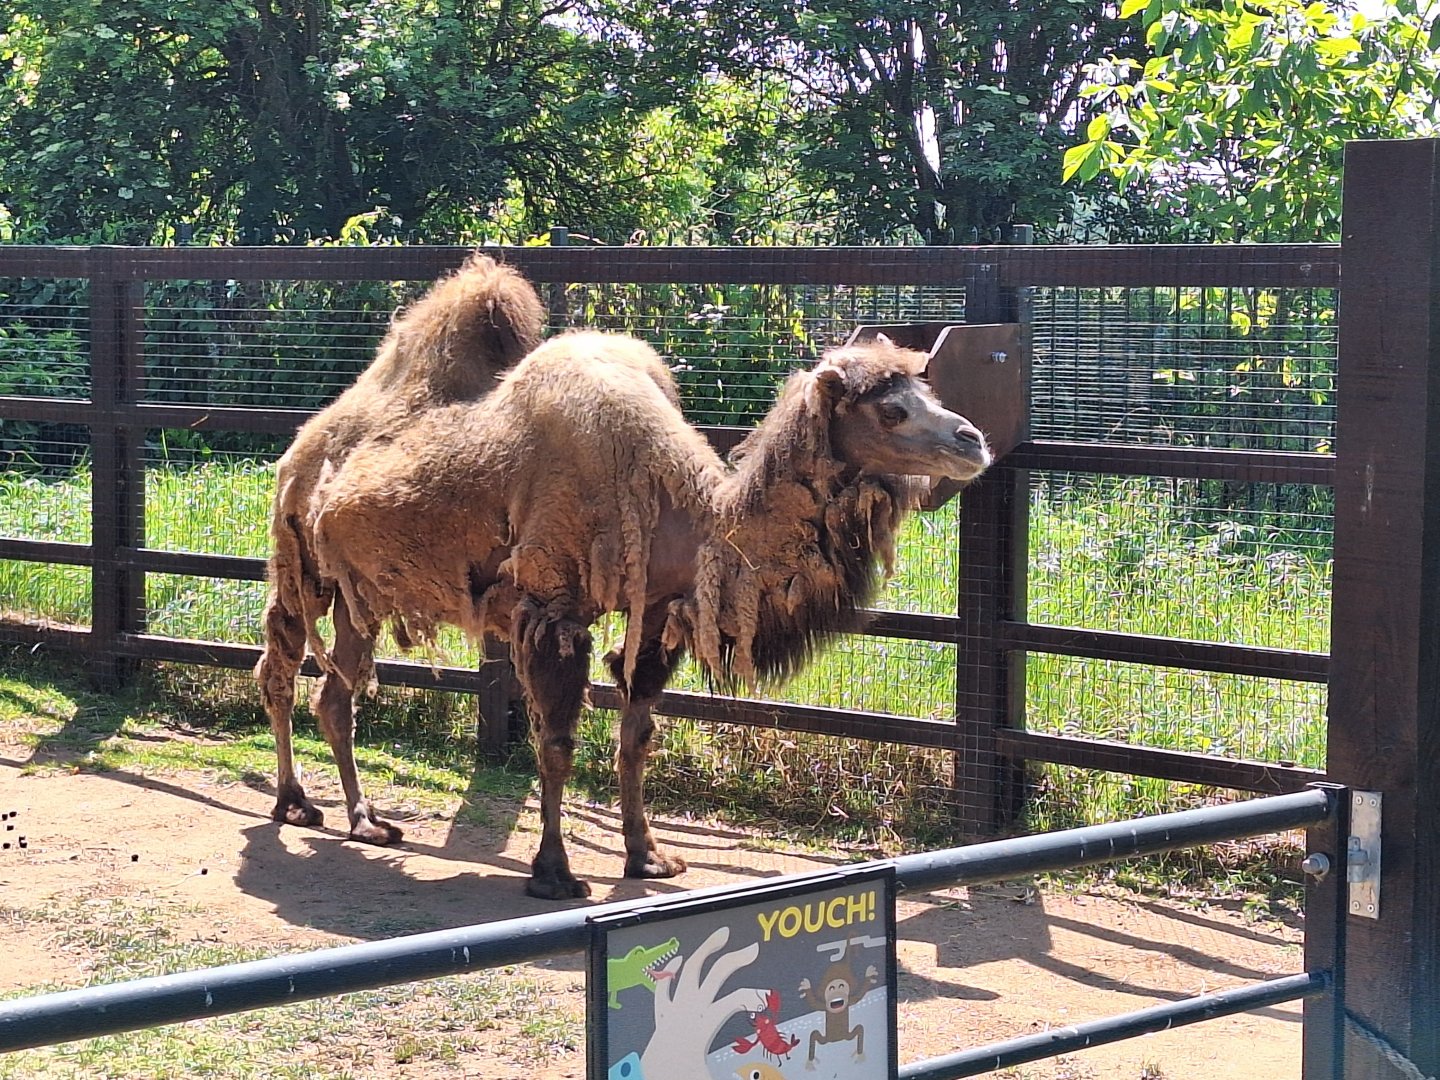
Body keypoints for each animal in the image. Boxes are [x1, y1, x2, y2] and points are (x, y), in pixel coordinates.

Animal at [294, 328, 991, 900]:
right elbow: (557, 743)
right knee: (304, 679)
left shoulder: (657, 614)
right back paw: (324, 812)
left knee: (333, 693)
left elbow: (636, 738)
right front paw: (554, 873)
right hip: (315, 573)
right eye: (891, 409)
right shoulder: (553, 610)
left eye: (924, 388)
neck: (692, 515)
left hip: (359, 598)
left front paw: (649, 857)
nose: (973, 440)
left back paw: (358, 819)